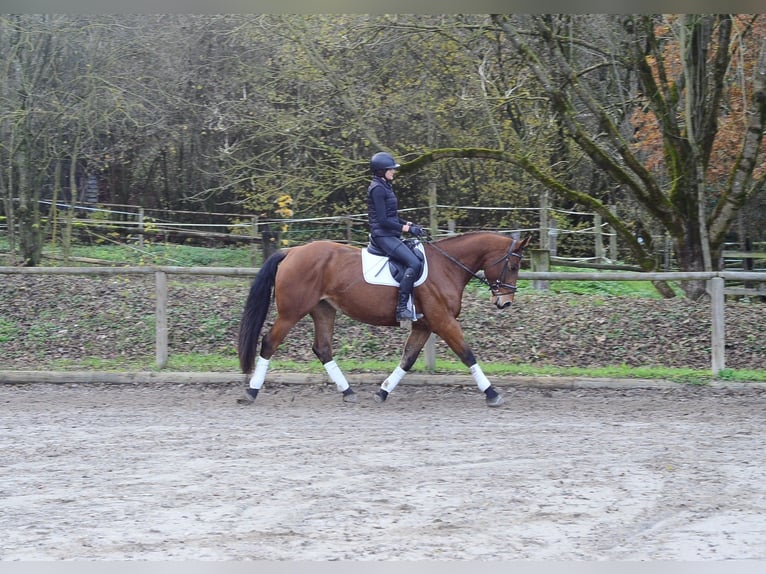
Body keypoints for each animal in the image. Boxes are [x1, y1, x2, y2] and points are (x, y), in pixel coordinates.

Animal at [237, 232, 531, 407]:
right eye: (513, 266)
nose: (504, 302)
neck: (447, 267)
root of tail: (292, 252)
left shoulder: (425, 325)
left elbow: (408, 358)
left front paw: (383, 391)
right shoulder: (443, 321)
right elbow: (467, 354)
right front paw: (492, 393)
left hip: (323, 310)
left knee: (322, 348)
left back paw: (348, 392)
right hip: (291, 312)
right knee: (269, 342)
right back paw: (251, 392)